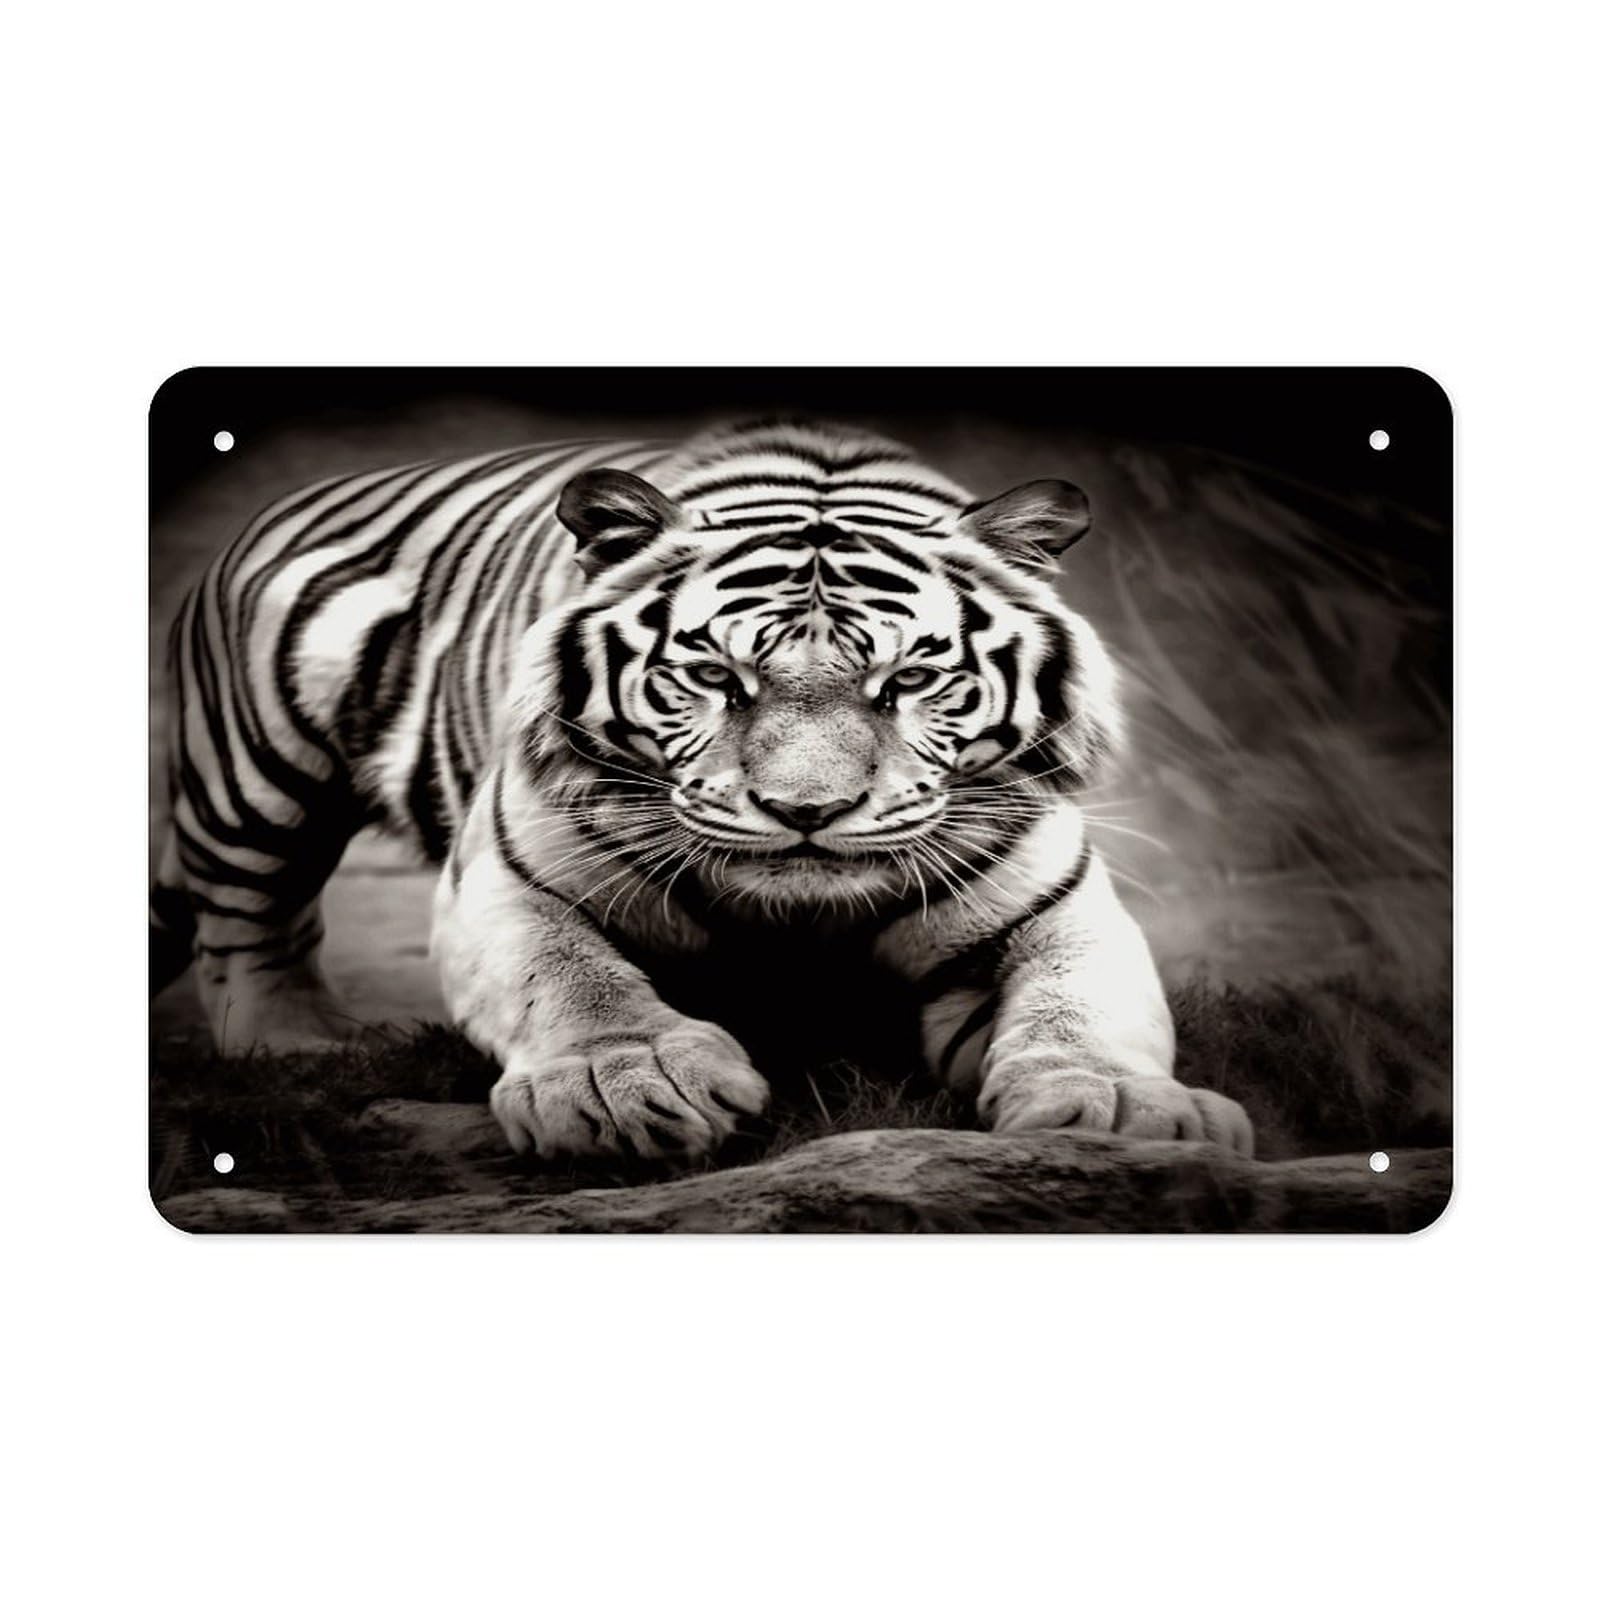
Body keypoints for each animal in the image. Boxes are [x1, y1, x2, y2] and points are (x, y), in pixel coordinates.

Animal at [152, 417, 1253, 1162]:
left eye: (906, 680)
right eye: (718, 676)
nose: (807, 813)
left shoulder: (1054, 904)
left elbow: (1083, 998)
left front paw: (1120, 1107)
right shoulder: (504, 873)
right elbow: (567, 973)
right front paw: (622, 1083)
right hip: (255, 777)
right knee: (250, 927)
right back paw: (301, 1042)